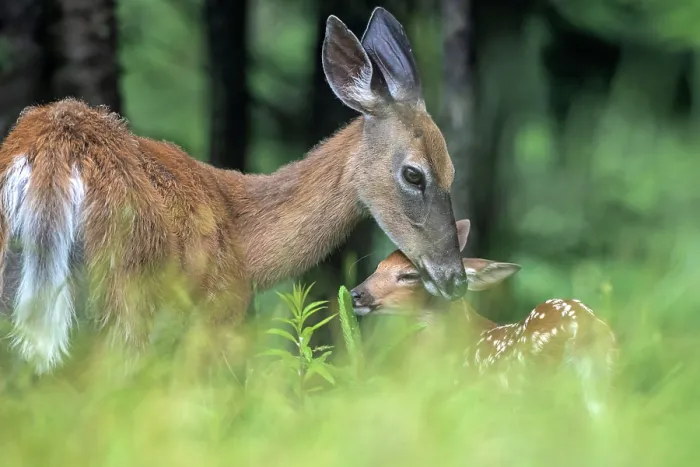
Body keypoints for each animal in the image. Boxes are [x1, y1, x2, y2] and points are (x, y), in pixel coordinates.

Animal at [0, 7, 469, 374]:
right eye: (414, 174)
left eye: (453, 170)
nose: (456, 278)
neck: (248, 243)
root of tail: (54, 145)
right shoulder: (220, 311)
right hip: (125, 289)